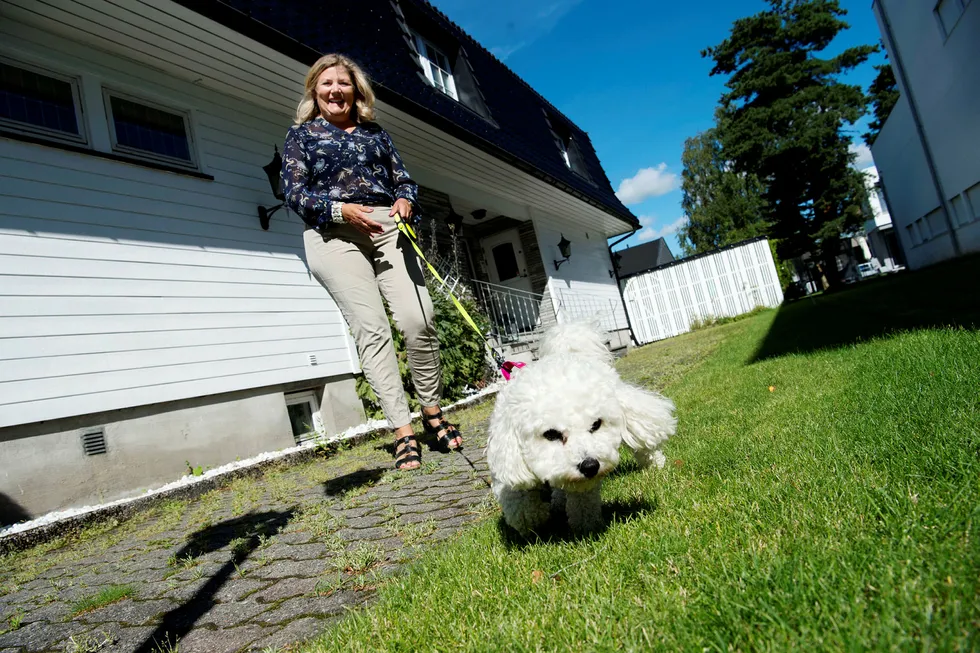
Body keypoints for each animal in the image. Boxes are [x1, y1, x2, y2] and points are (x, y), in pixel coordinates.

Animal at [486, 324, 676, 536]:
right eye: (551, 434)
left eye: (596, 425)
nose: (590, 466)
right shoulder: (506, 454)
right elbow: (518, 498)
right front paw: (529, 517)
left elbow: (583, 501)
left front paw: (585, 525)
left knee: (643, 440)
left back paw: (655, 464)